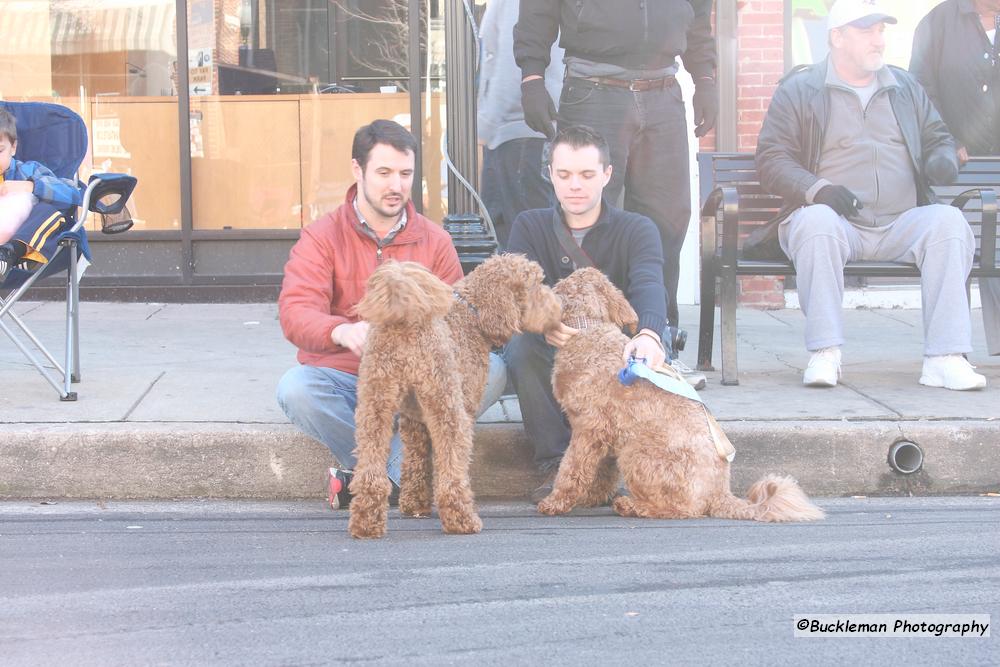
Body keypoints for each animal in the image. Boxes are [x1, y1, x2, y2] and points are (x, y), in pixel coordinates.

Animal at [350, 253, 564, 540]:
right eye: (535, 285)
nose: (559, 306)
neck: (472, 313)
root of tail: (404, 323)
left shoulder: (413, 420)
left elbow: (417, 462)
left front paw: (415, 505)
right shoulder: (462, 409)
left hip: (374, 407)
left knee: (370, 470)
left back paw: (366, 523)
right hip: (447, 406)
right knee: (452, 467)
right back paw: (462, 519)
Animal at [544, 268, 824, 524]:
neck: (589, 331)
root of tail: (719, 493)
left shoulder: (588, 428)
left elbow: (571, 467)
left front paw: (556, 501)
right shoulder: (608, 434)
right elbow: (602, 471)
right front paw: (592, 497)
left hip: (637, 453)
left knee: (682, 509)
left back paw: (632, 506)